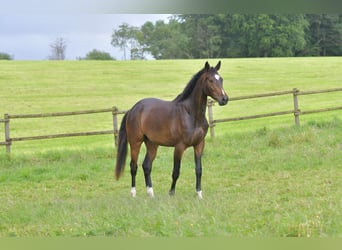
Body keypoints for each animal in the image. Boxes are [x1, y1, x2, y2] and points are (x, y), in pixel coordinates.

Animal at [114, 61, 227, 198]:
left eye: (221, 79)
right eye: (210, 80)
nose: (224, 99)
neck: (191, 114)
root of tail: (133, 109)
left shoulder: (199, 144)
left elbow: (199, 170)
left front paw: (199, 194)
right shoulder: (179, 147)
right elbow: (176, 171)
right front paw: (171, 193)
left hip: (152, 144)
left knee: (146, 166)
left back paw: (151, 193)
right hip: (135, 142)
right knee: (133, 166)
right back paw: (133, 193)